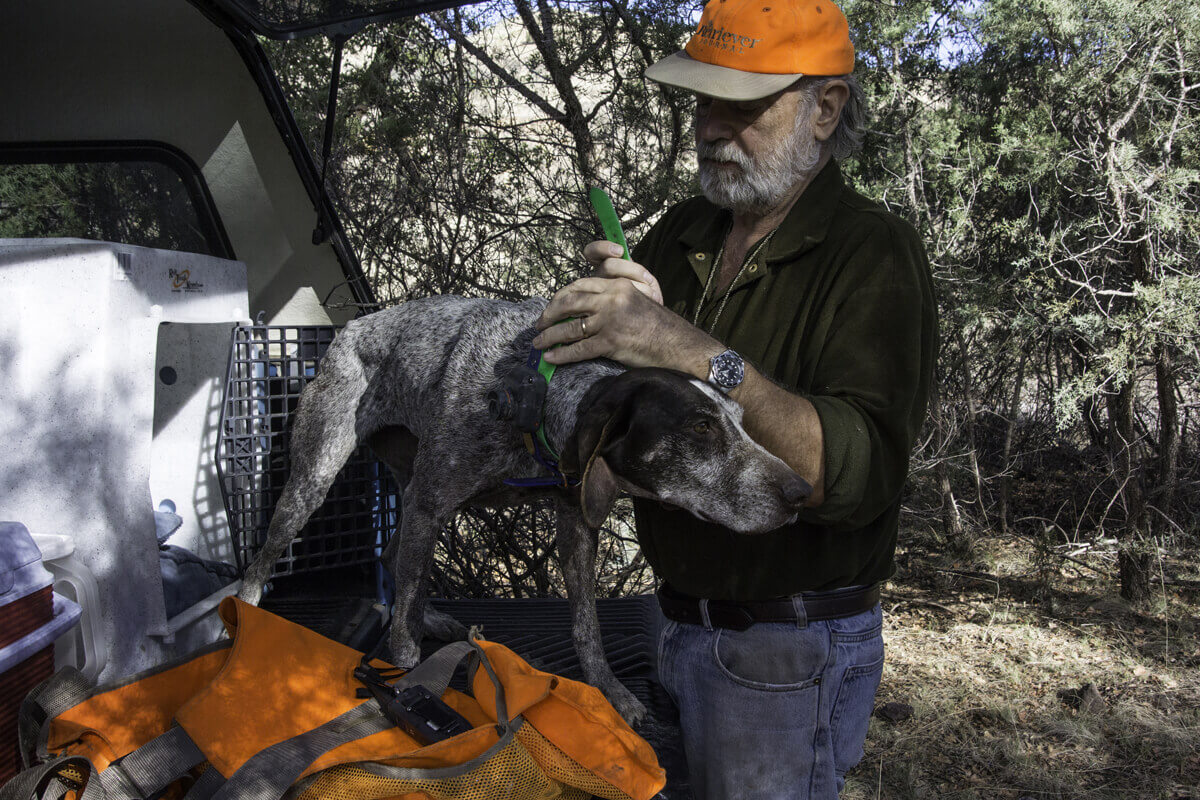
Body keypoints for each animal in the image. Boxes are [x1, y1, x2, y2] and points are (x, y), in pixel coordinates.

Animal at [238, 296, 811, 724]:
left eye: (740, 419)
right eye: (701, 427)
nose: (801, 491)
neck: (532, 396)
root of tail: (353, 326)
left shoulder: (576, 523)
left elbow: (587, 625)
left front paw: (610, 691)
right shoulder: (429, 504)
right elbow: (401, 643)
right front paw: (409, 689)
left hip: (408, 486)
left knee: (393, 558)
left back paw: (433, 617)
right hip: (318, 475)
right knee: (268, 558)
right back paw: (244, 613)